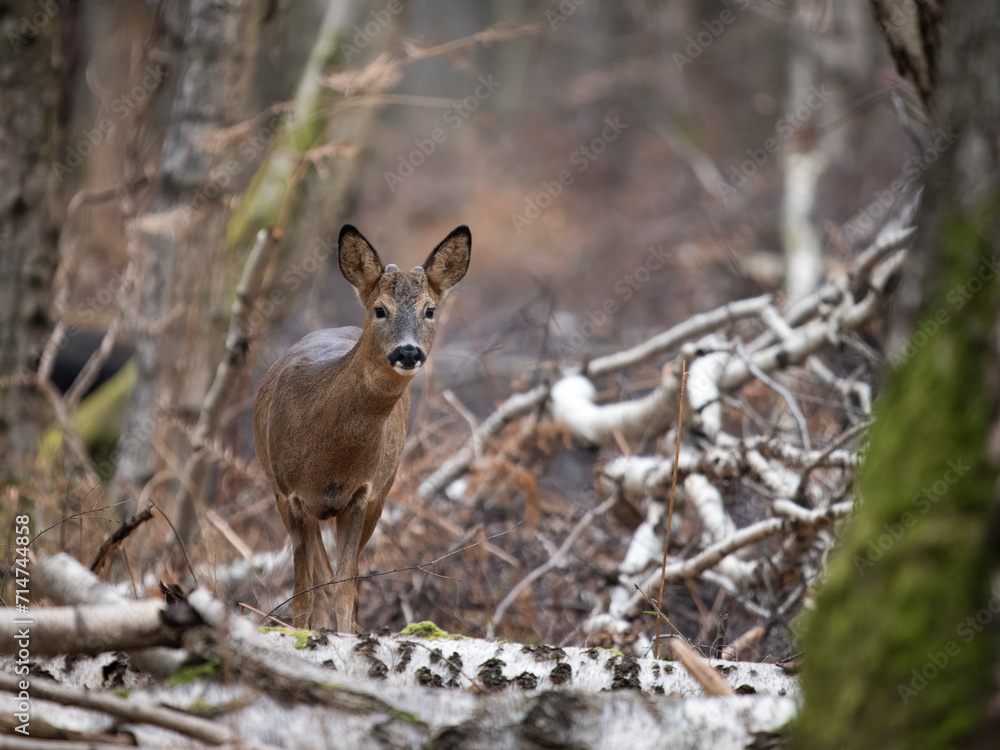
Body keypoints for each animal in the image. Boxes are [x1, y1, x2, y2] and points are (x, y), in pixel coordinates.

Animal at [250, 225, 468, 636]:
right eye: (380, 309)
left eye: (429, 310)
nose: (408, 353)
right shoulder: (290, 494)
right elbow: (306, 591)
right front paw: (305, 633)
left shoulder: (361, 493)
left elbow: (344, 587)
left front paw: (344, 637)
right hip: (280, 493)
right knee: (316, 579)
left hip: (382, 490)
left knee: (340, 580)